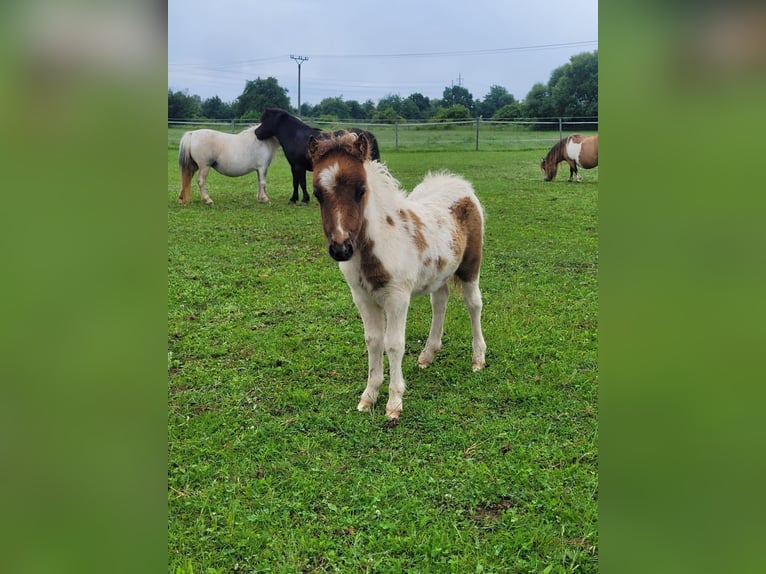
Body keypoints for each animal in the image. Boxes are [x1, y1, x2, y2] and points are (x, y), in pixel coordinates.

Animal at [306, 130, 486, 420]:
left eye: (361, 190)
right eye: (317, 194)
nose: (341, 248)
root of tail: (457, 183)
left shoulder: (397, 298)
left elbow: (394, 344)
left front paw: (394, 403)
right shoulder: (363, 298)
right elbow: (373, 341)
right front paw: (369, 396)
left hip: (470, 266)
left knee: (474, 304)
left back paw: (478, 358)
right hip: (439, 272)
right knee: (440, 302)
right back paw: (427, 355)